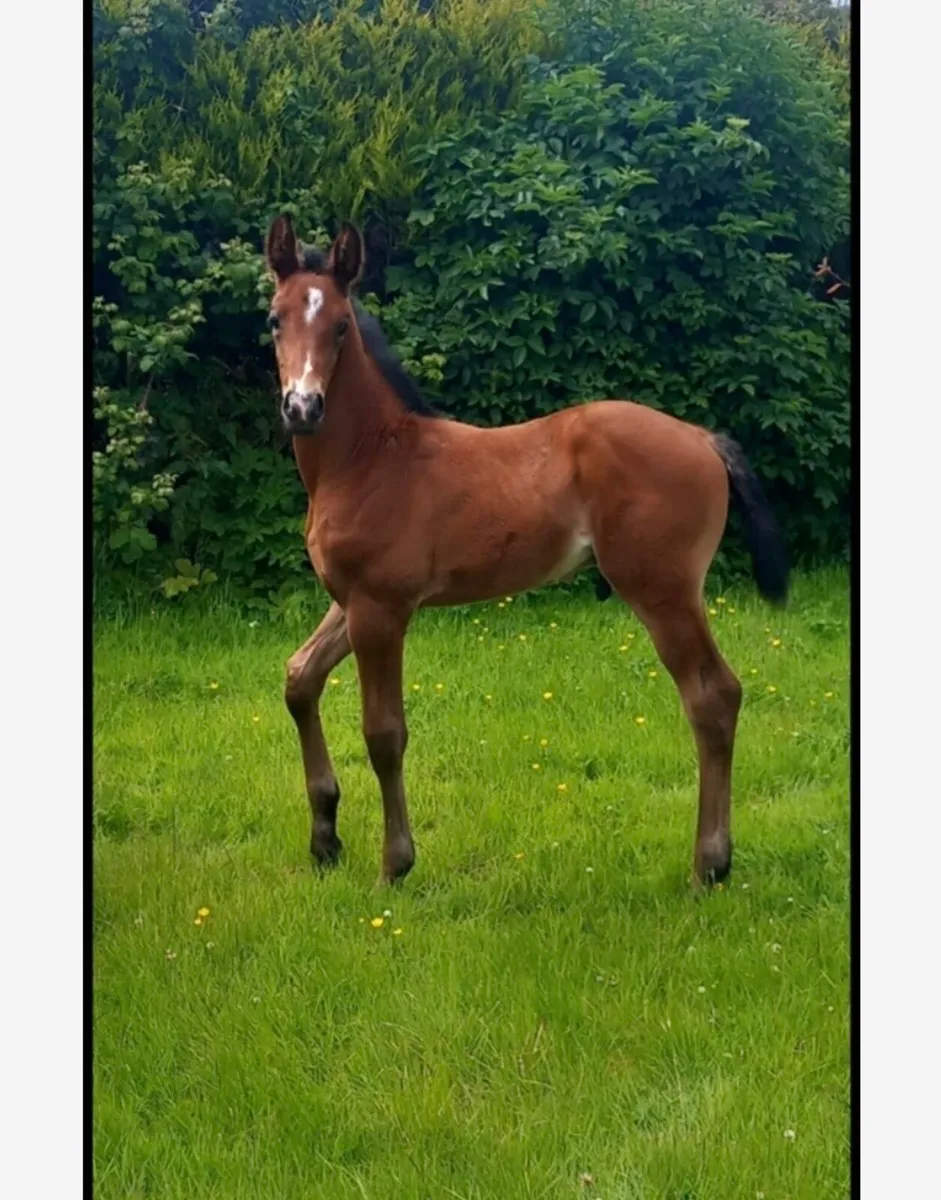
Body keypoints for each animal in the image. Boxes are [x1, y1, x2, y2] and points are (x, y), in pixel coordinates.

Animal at [265, 214, 788, 888]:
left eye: (340, 325)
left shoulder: (381, 610)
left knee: (712, 696)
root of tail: (702, 437)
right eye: (275, 319)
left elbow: (384, 734)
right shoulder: (350, 601)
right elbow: (300, 678)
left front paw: (394, 866)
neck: (371, 457)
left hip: (663, 590)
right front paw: (325, 838)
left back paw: (708, 866)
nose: (303, 407)